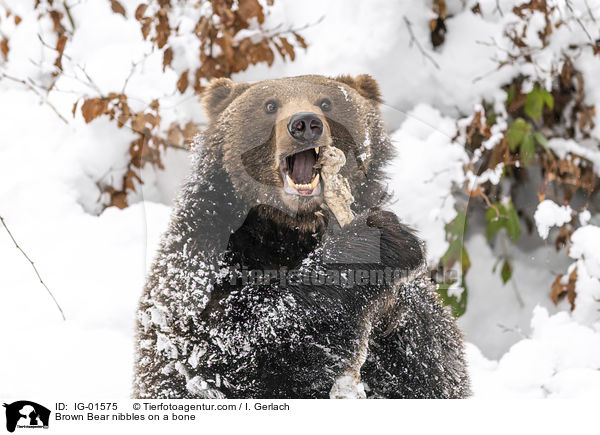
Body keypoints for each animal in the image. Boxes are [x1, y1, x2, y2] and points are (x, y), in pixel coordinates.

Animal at [134, 74, 472, 398]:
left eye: (326, 102)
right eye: (269, 105)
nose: (305, 124)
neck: (289, 230)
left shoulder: (418, 333)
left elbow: (431, 364)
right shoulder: (201, 253)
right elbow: (225, 343)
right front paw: (372, 242)